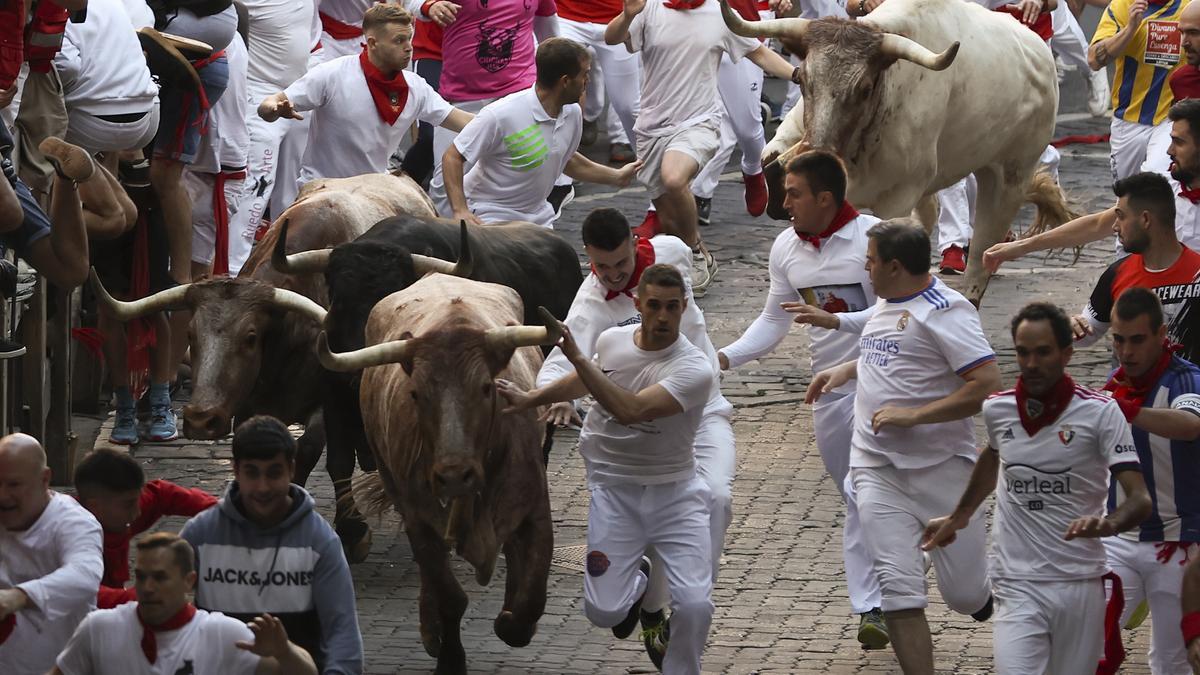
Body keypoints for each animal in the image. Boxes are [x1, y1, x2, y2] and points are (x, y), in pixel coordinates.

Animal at [319, 273, 561, 672]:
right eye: (416, 393)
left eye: (486, 387)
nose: (453, 474)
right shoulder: (419, 517)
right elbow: (449, 594)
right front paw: (448, 656)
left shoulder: (535, 508)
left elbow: (532, 597)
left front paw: (509, 619)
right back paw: (431, 631)